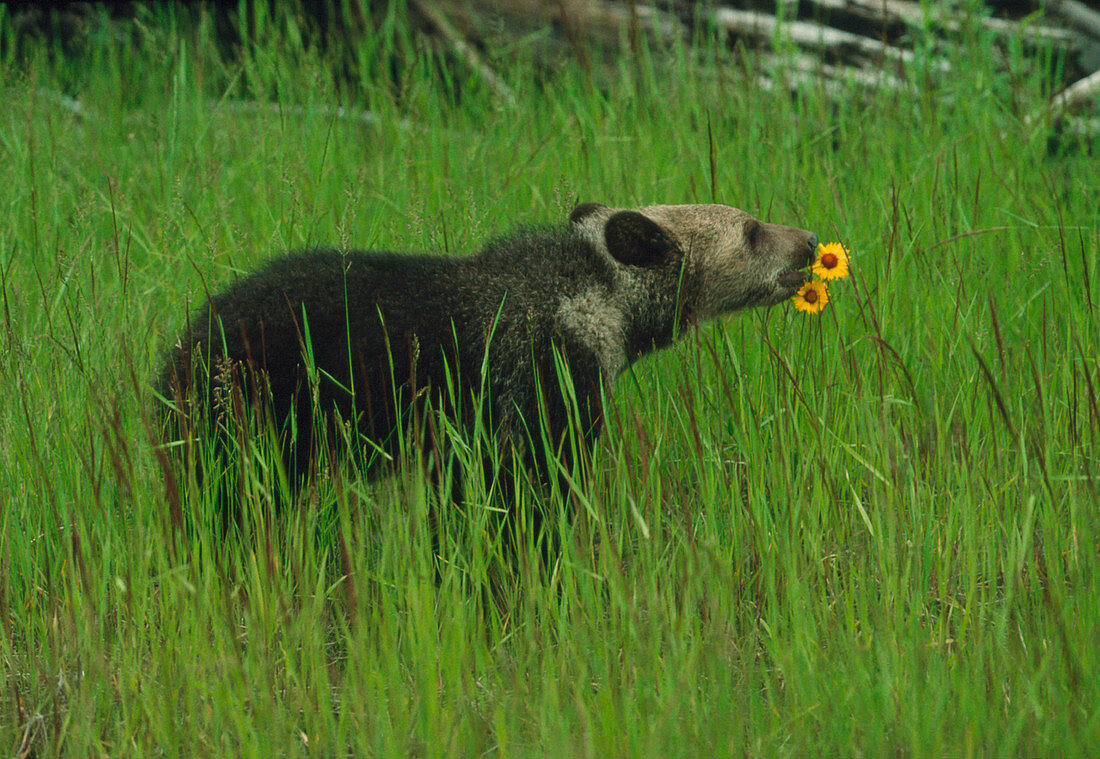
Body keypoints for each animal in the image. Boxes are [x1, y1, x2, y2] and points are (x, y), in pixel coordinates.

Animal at [160, 202, 818, 525]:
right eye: (750, 230)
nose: (811, 240)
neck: (607, 310)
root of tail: (181, 349)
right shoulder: (544, 384)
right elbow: (527, 496)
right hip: (253, 415)